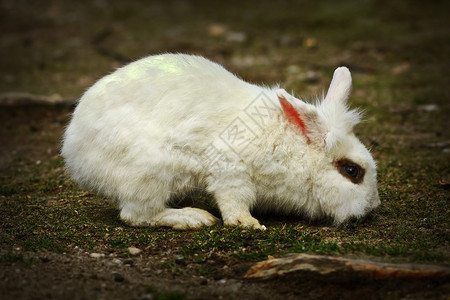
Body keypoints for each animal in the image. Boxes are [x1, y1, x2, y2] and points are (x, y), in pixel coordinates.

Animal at [61, 53, 380, 230]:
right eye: (352, 171)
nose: (373, 207)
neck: (293, 148)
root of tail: (74, 154)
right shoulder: (230, 168)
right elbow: (233, 200)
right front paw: (246, 223)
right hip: (150, 171)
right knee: (137, 214)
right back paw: (192, 218)